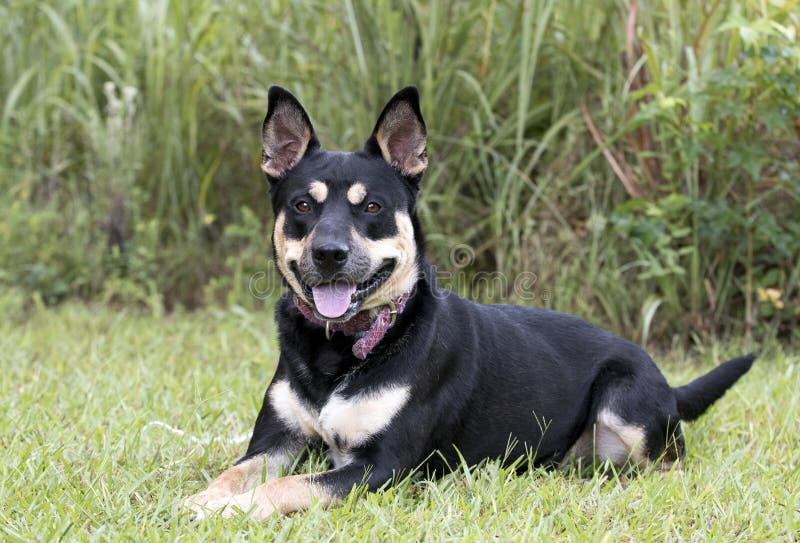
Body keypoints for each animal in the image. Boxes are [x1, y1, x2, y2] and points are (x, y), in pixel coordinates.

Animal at [183, 85, 756, 520]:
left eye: (372, 207)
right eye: (303, 206)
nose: (329, 254)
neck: (344, 347)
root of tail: (664, 379)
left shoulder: (383, 467)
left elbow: (288, 486)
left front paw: (224, 510)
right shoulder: (276, 442)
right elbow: (235, 471)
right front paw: (204, 498)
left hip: (626, 402)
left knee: (672, 467)